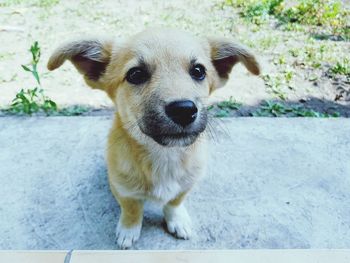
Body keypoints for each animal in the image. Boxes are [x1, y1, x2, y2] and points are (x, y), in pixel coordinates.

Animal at [47, 28, 260, 250]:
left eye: (198, 71)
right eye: (136, 74)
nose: (184, 110)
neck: (164, 156)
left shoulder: (187, 184)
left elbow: (174, 202)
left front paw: (177, 220)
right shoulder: (124, 190)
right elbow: (132, 209)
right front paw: (129, 229)